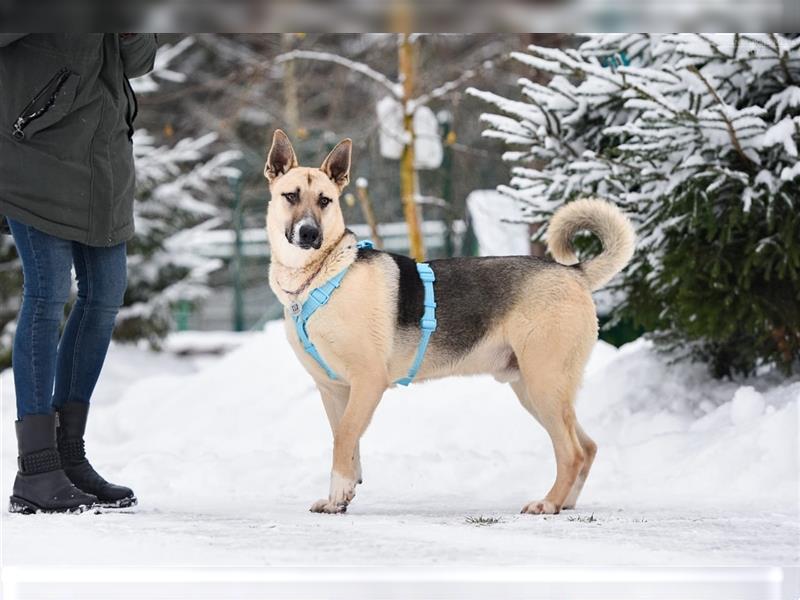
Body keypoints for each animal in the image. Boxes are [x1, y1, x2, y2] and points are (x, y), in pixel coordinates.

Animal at [266, 129, 636, 512]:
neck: (319, 276)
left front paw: (339, 493)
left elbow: (344, 438)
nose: (309, 233)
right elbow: (347, 443)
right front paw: (340, 498)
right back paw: (565, 503)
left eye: (325, 201)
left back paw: (547, 504)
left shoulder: (367, 382)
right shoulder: (334, 390)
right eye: (291, 196)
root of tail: (575, 272)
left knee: (572, 452)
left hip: (544, 384)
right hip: (535, 390)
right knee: (588, 446)